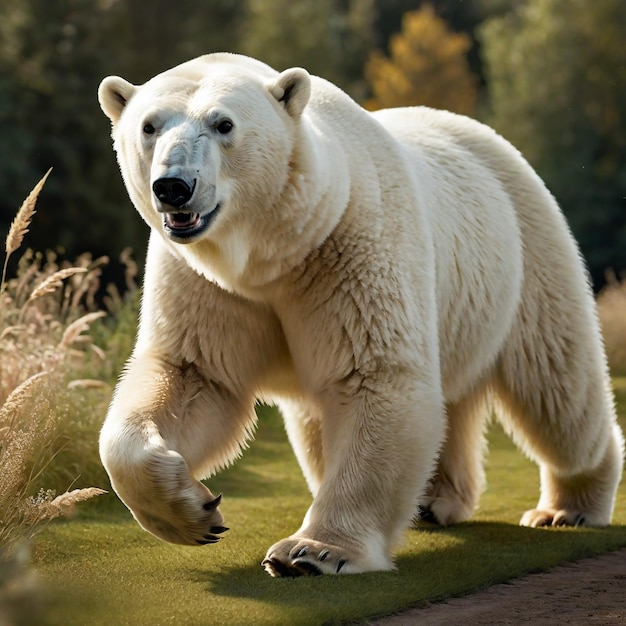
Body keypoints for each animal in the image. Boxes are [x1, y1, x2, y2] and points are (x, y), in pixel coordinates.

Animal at [97, 53, 620, 576]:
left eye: (223, 123)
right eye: (148, 126)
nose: (173, 187)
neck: (277, 256)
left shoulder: (353, 248)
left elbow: (376, 377)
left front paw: (311, 552)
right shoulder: (205, 284)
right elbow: (193, 377)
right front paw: (191, 511)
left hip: (527, 254)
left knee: (558, 390)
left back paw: (567, 508)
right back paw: (434, 501)